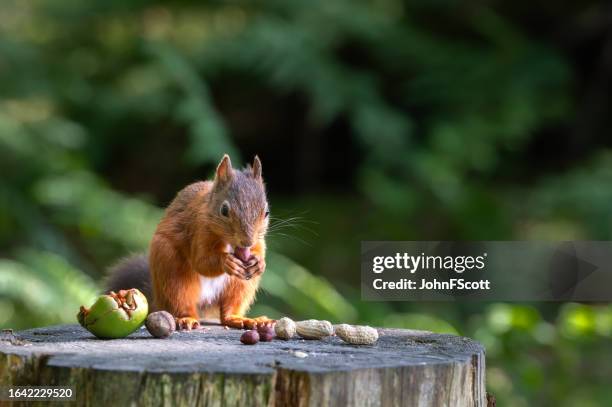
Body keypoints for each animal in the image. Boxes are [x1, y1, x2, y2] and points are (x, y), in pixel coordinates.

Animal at [106, 155, 272, 330]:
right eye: (224, 210)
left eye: (266, 212)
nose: (247, 242)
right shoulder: (198, 229)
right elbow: (201, 261)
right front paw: (227, 261)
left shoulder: (258, 241)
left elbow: (259, 250)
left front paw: (259, 263)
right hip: (171, 269)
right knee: (180, 300)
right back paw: (187, 318)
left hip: (241, 284)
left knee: (230, 309)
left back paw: (242, 319)